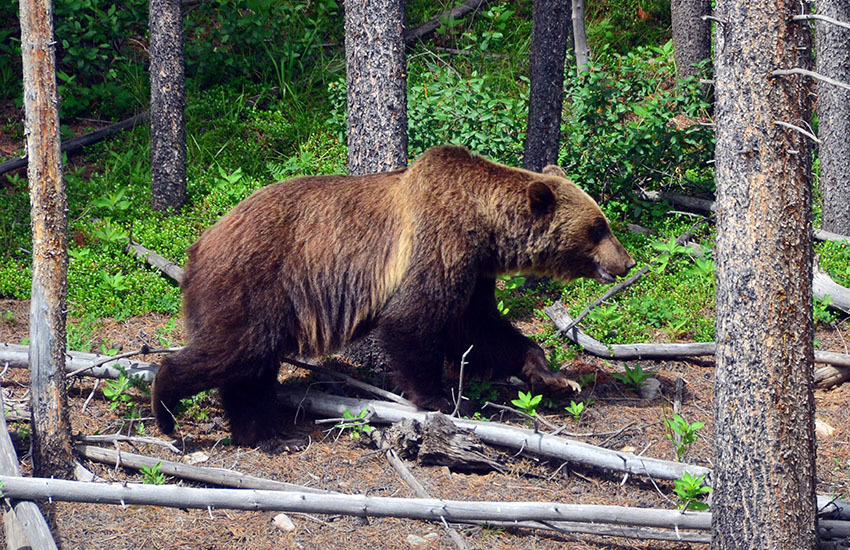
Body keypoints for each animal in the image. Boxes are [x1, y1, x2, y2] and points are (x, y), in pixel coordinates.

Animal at [151, 146, 628, 444]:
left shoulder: (474, 270)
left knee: (251, 364)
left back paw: (265, 433)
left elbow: (481, 327)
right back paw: (166, 405)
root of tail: (199, 245)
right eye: (598, 226)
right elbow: (413, 320)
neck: (484, 226)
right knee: (236, 350)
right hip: (256, 282)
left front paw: (554, 376)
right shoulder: (436, 244)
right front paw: (440, 397)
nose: (625, 261)